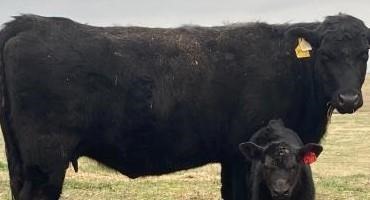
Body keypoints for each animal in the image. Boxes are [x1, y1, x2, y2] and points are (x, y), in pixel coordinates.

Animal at [0, 13, 368, 199]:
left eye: (364, 53)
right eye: (326, 55)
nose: (349, 99)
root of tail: (30, 22)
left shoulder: (232, 156)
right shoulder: (245, 156)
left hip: (21, 160)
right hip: (45, 160)